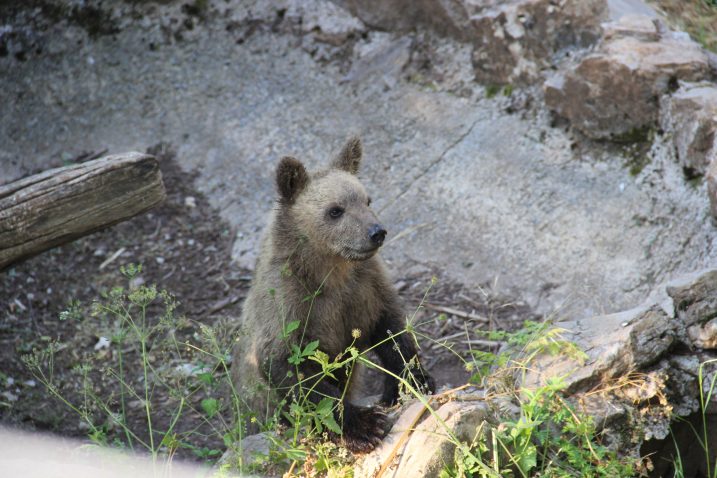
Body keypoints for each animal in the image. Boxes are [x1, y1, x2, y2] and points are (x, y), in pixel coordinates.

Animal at [232, 137, 434, 452]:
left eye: (366, 200)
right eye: (335, 210)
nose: (377, 232)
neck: (330, 269)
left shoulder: (364, 286)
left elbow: (391, 331)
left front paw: (413, 381)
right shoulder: (288, 303)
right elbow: (292, 368)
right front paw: (363, 426)